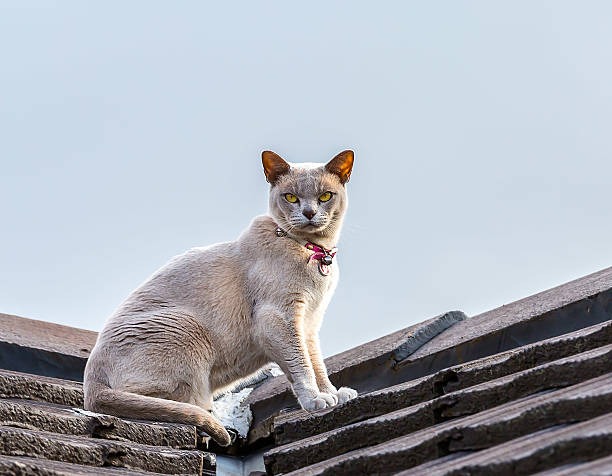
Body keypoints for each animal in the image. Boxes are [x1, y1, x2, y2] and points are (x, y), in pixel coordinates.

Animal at [83, 150, 356, 446]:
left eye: (325, 196)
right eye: (291, 197)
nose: (309, 213)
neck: (317, 252)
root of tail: (89, 385)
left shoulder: (309, 325)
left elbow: (318, 365)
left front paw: (335, 394)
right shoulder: (279, 318)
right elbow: (301, 366)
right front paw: (316, 400)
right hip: (186, 327)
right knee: (166, 401)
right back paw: (216, 420)